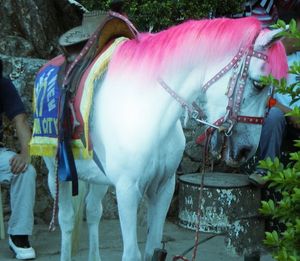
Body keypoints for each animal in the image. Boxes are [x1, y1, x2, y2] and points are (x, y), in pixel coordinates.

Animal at [39, 16, 286, 260]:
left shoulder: (164, 188)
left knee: (92, 212)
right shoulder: (127, 191)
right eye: (258, 84)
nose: (246, 150)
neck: (149, 112)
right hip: (56, 172)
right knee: (67, 221)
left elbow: (153, 249)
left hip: (97, 177)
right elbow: (132, 253)